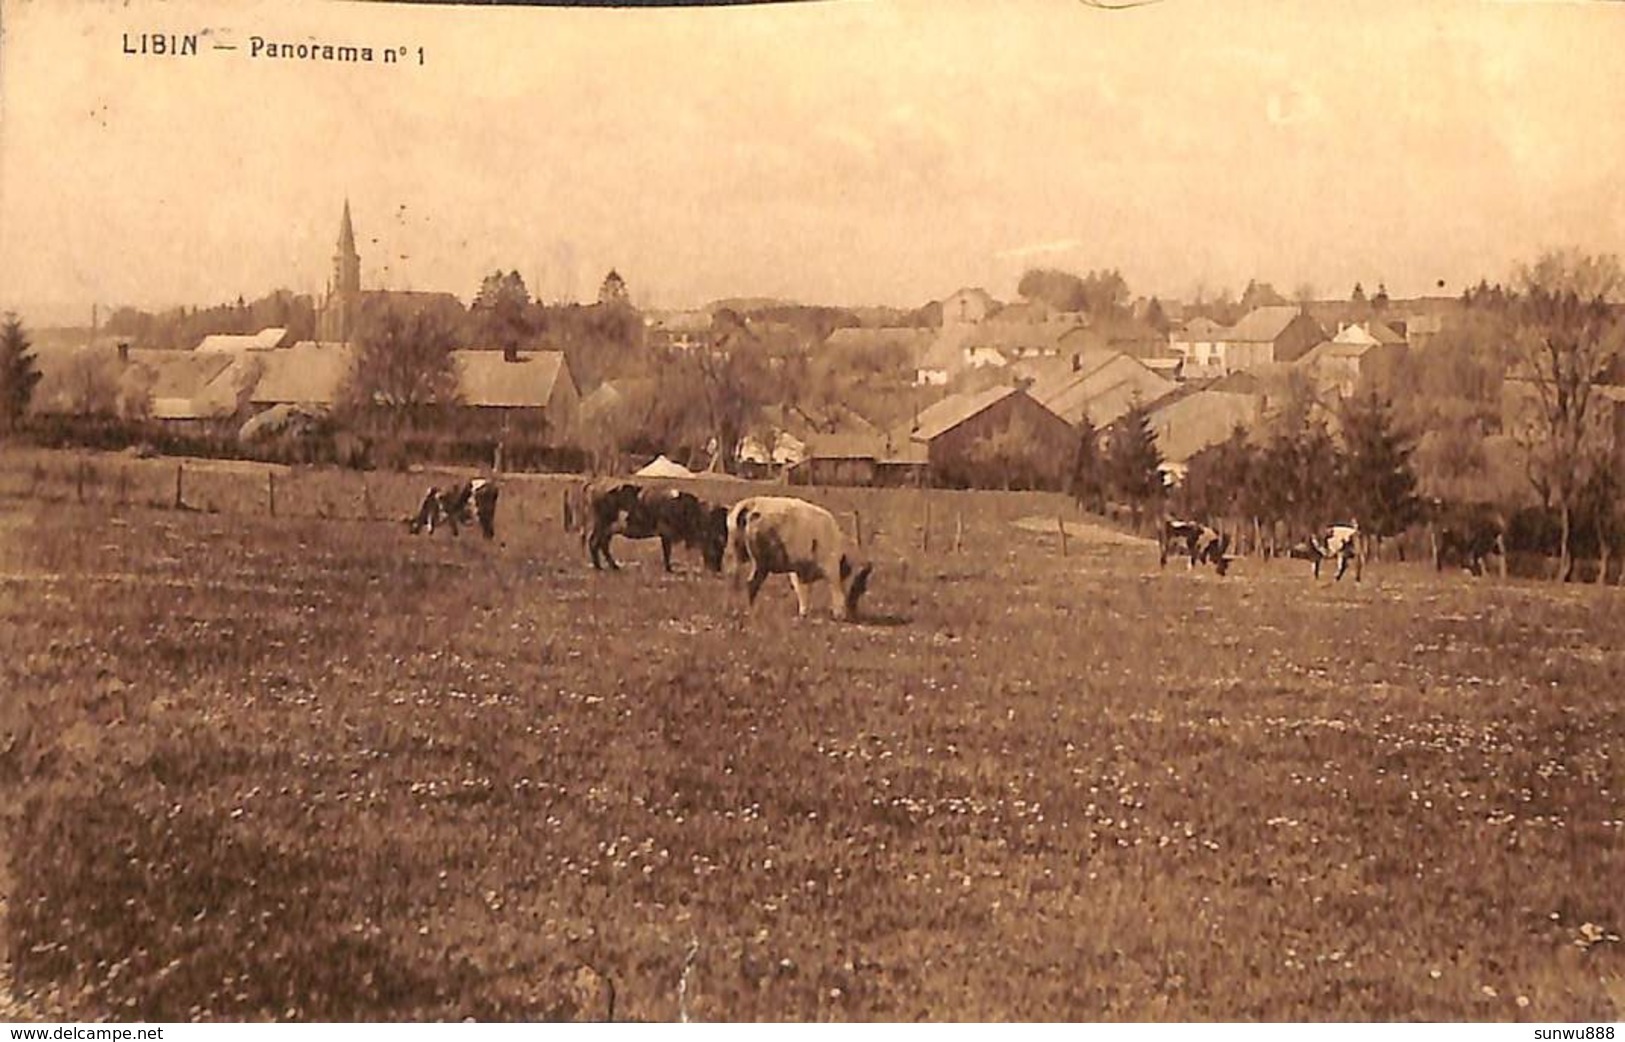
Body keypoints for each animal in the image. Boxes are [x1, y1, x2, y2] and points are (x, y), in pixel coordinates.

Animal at [588, 484, 728, 572]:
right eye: (716, 541)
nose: (718, 569)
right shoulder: (666, 534)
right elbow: (667, 552)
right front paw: (669, 569)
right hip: (602, 525)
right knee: (595, 543)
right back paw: (601, 567)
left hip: (607, 530)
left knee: (601, 545)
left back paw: (611, 566)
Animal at [728, 494, 871, 617]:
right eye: (861, 586)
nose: (854, 612)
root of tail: (750, 504)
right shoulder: (831, 568)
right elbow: (836, 590)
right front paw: (839, 614)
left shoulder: (800, 572)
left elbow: (802, 592)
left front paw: (803, 613)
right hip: (760, 564)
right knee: (751, 583)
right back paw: (751, 611)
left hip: (738, 557)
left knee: (735, 582)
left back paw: (736, 610)